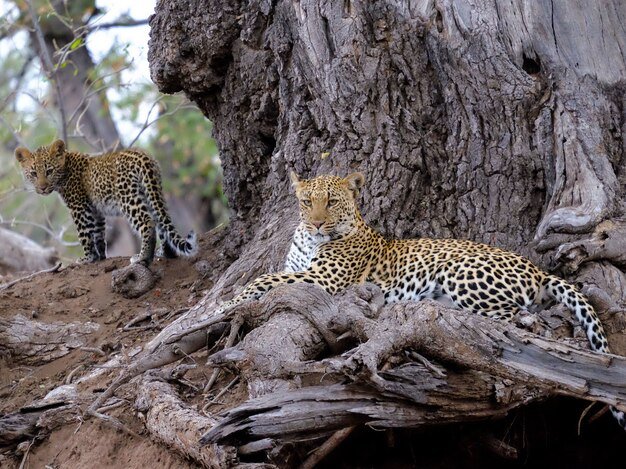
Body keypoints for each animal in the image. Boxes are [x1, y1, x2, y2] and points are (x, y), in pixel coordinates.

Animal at [14, 137, 196, 266]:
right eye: (33, 173)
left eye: (49, 171)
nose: (42, 188)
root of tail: (143, 157)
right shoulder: (95, 210)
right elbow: (98, 233)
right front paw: (100, 257)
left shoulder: (79, 208)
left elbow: (84, 234)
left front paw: (87, 258)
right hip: (152, 193)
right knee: (161, 222)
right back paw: (166, 254)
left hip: (128, 198)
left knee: (148, 222)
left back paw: (142, 258)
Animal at [217, 171, 620, 428]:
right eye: (305, 202)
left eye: (330, 202)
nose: (316, 224)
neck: (309, 238)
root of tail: (536, 269)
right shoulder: (303, 269)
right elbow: (269, 274)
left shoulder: (324, 279)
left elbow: (262, 278)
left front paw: (226, 305)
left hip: (459, 271)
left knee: (519, 319)